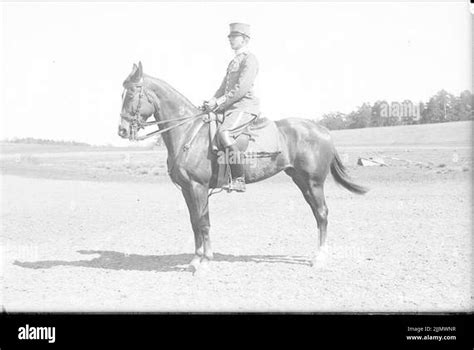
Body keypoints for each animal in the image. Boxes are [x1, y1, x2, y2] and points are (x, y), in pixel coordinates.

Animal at [117, 61, 366, 272]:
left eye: (132, 93)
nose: (121, 130)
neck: (188, 132)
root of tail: (323, 130)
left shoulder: (198, 187)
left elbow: (203, 223)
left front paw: (205, 262)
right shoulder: (187, 190)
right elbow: (194, 222)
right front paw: (196, 259)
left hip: (314, 183)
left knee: (322, 214)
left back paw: (319, 257)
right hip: (301, 181)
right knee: (316, 212)